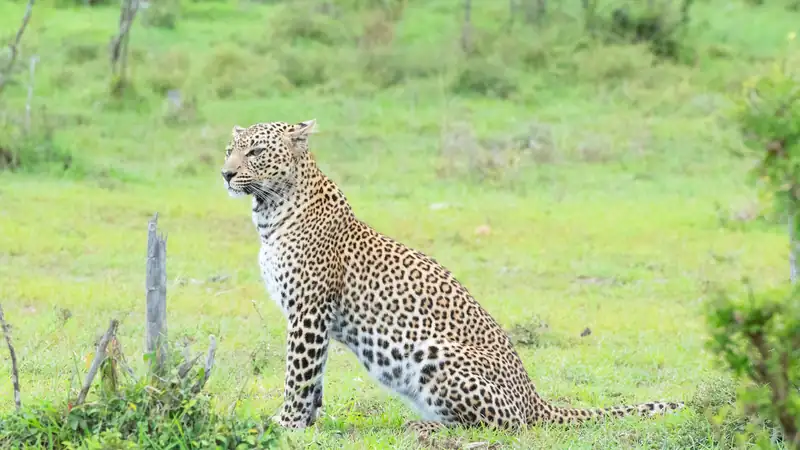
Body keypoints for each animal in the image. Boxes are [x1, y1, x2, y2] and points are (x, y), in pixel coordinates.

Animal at [220, 119, 685, 435]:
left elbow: (297, 374)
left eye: (256, 152)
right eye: (230, 149)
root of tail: (535, 398)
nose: (226, 173)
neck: (270, 211)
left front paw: (285, 423)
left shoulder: (309, 311)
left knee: (505, 425)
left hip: (435, 355)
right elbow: (314, 376)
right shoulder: (311, 318)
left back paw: (424, 428)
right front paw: (309, 422)